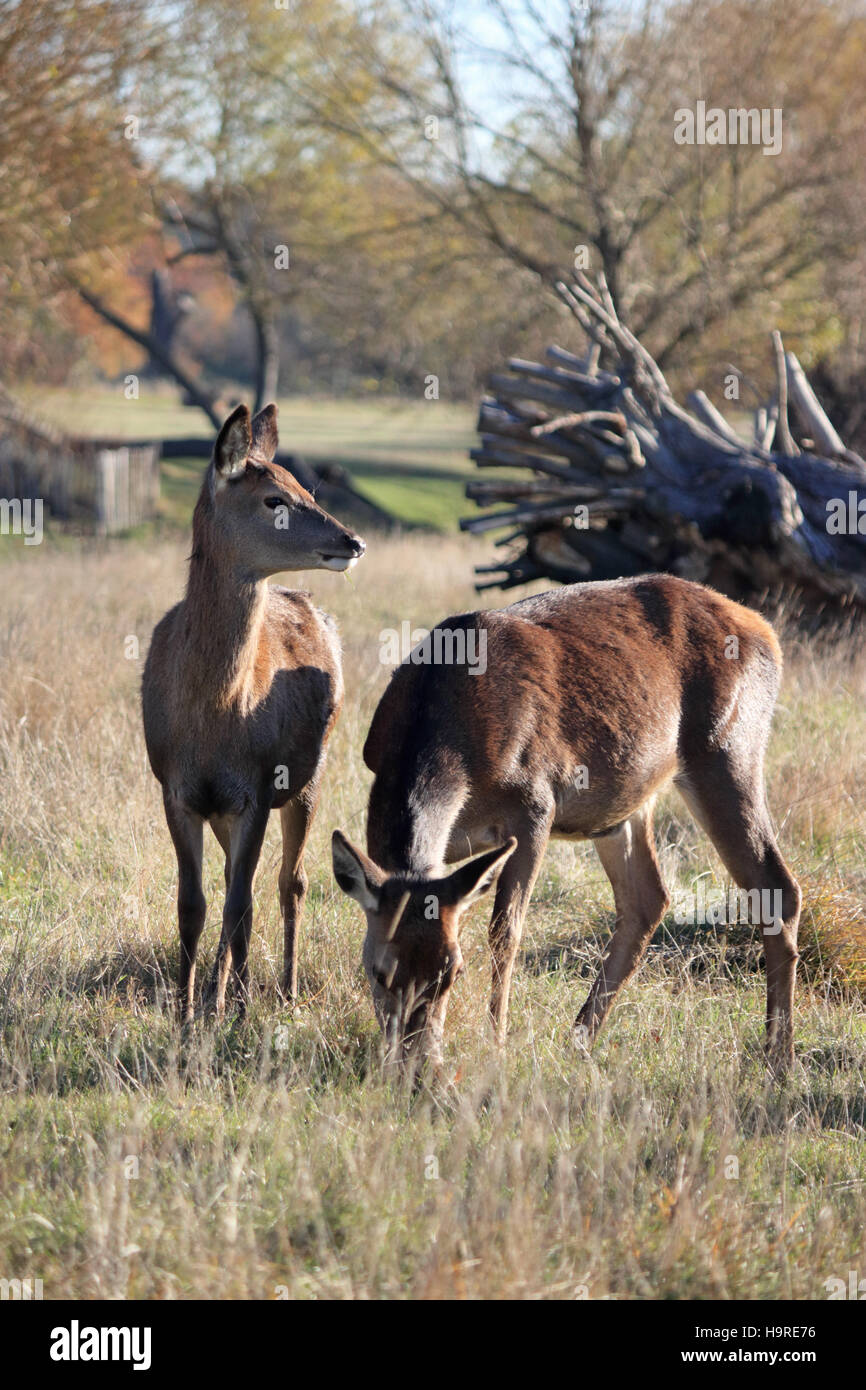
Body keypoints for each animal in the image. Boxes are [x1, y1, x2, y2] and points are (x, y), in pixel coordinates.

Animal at [143, 402, 365, 1022]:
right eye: (274, 499)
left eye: (306, 488)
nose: (353, 540)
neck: (214, 716)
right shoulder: (176, 789)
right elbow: (192, 904)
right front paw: (186, 1011)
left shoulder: (260, 786)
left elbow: (241, 904)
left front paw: (238, 1012)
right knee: (234, 883)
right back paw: (219, 993)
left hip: (310, 775)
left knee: (292, 881)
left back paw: (282, 990)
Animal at [332, 573, 801, 1079]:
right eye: (378, 971)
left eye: (453, 971)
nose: (416, 1064)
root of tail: (764, 629)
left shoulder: (535, 803)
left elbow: (506, 931)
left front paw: (496, 1045)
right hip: (628, 803)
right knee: (648, 899)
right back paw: (580, 1038)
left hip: (729, 745)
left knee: (777, 886)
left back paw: (779, 1055)